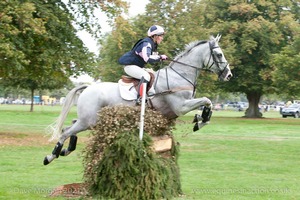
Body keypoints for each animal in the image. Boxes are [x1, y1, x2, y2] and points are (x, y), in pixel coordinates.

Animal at [44, 35, 232, 165]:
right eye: (219, 54)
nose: (228, 75)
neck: (180, 75)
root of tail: (88, 87)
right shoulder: (180, 107)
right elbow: (206, 100)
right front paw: (200, 120)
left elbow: (208, 103)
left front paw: (200, 119)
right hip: (89, 120)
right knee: (66, 132)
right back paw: (50, 156)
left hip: (90, 119)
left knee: (70, 126)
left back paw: (66, 150)